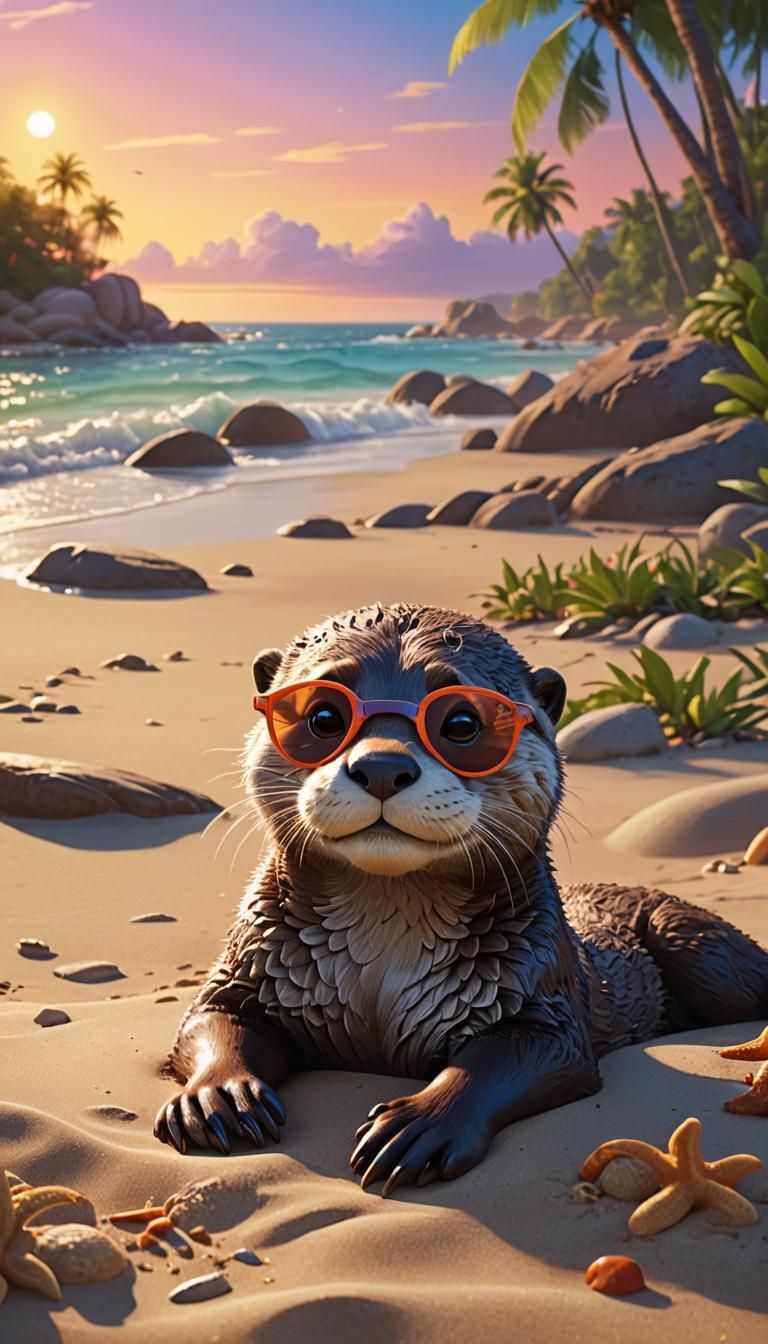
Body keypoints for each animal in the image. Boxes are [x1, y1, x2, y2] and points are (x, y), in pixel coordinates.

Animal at [155, 604, 768, 1196]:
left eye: (462, 723)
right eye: (323, 717)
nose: (381, 766)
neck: (379, 976)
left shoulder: (541, 987)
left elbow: (514, 1056)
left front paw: (419, 1126)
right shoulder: (250, 966)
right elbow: (210, 1018)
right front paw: (219, 1094)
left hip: (694, 941)